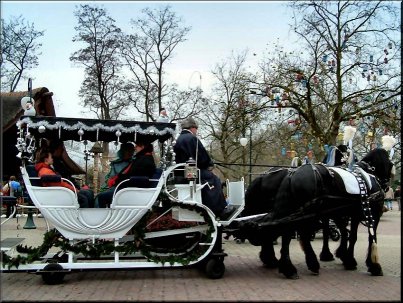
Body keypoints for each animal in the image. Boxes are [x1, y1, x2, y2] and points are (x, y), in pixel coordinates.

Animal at [230, 148, 394, 280]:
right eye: (392, 165)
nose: (387, 186)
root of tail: (292, 175)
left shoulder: (343, 213)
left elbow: (347, 234)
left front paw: (343, 256)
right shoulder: (371, 213)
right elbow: (368, 237)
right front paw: (372, 265)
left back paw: (279, 261)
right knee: (288, 234)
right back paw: (293, 267)